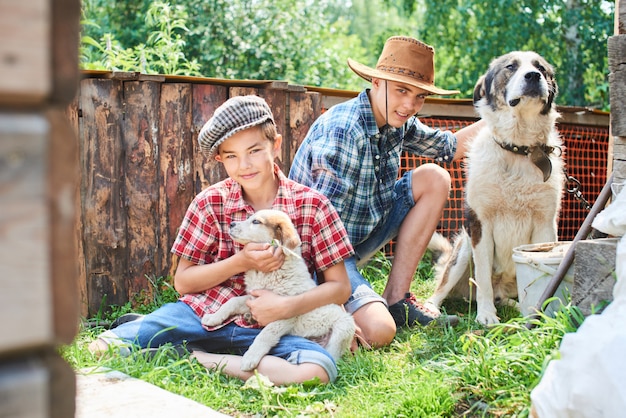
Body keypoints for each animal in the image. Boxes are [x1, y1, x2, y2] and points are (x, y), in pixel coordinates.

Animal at [202, 211, 354, 370]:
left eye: (256, 222)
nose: (231, 224)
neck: (267, 273)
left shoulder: (283, 312)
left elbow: (266, 333)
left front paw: (250, 357)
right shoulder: (254, 297)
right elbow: (232, 301)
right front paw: (213, 318)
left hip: (344, 326)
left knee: (333, 355)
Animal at [422, 52, 564, 324]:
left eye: (541, 68)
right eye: (511, 67)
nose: (533, 76)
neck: (519, 149)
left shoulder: (544, 225)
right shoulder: (481, 225)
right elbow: (483, 278)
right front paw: (486, 316)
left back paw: (515, 306)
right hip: (463, 250)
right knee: (444, 287)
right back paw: (432, 308)